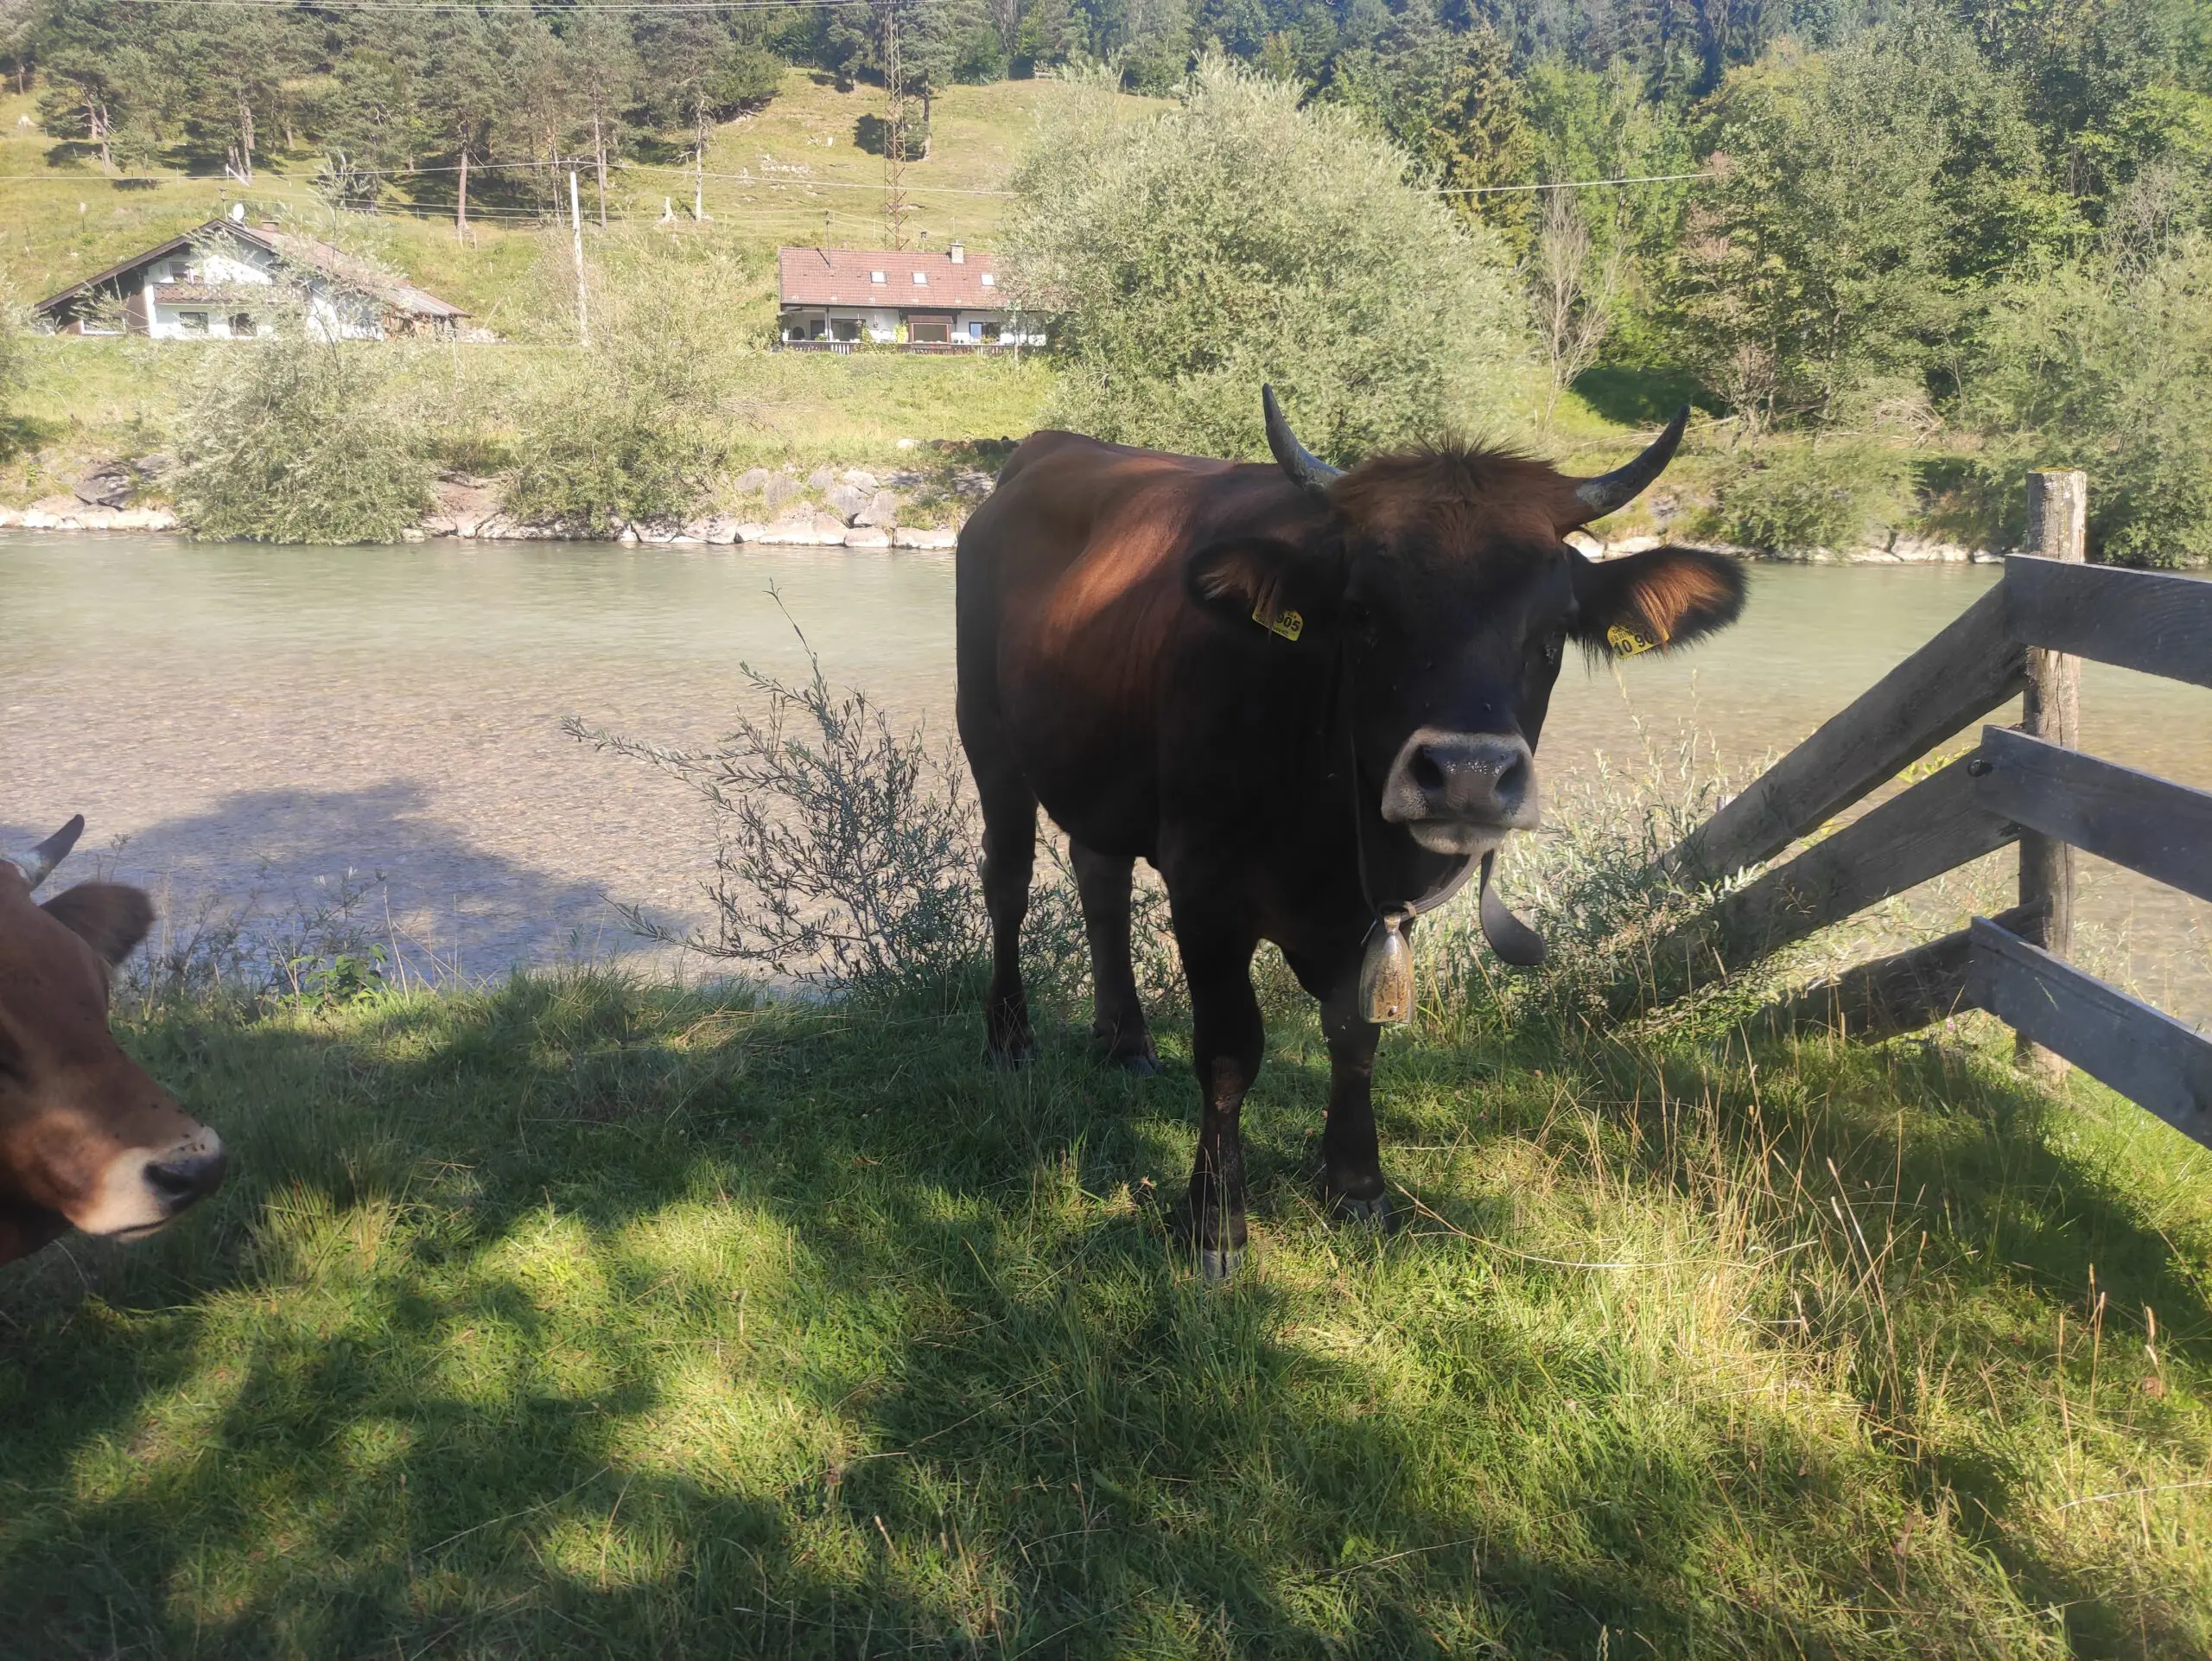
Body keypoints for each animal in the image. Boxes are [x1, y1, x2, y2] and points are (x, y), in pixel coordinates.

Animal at [955, 389, 1743, 1274]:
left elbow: (1357, 1034)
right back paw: (1010, 1037)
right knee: (1009, 883)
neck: (1333, 834)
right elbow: (1229, 1049)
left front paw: (1357, 1183)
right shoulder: (1205, 889)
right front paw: (1215, 1220)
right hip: (989, 737)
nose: (1467, 772)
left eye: (1554, 631)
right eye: (1364, 615)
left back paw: (1123, 1041)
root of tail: (1050, 450)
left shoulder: (1376, 914)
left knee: (1100, 878)